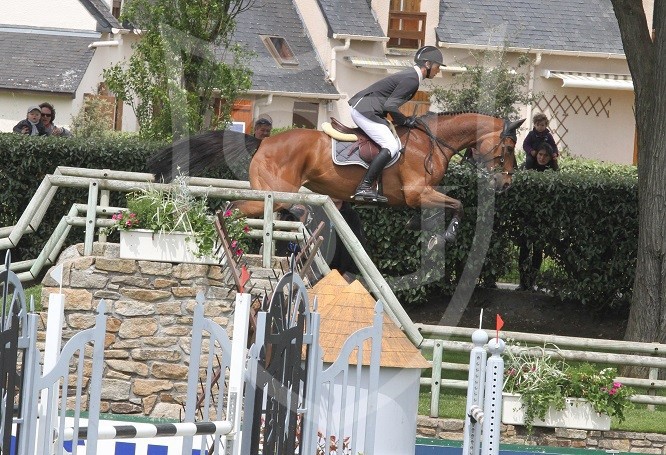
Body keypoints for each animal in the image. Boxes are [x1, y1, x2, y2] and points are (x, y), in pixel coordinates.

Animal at [147, 112, 524, 251]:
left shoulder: (417, 196)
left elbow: (446, 206)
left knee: (239, 209)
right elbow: (457, 205)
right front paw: (443, 238)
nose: (506, 184)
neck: (432, 142)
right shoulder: (417, 193)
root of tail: (263, 142)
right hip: (275, 193)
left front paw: (421, 229)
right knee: (232, 207)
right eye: (508, 147)